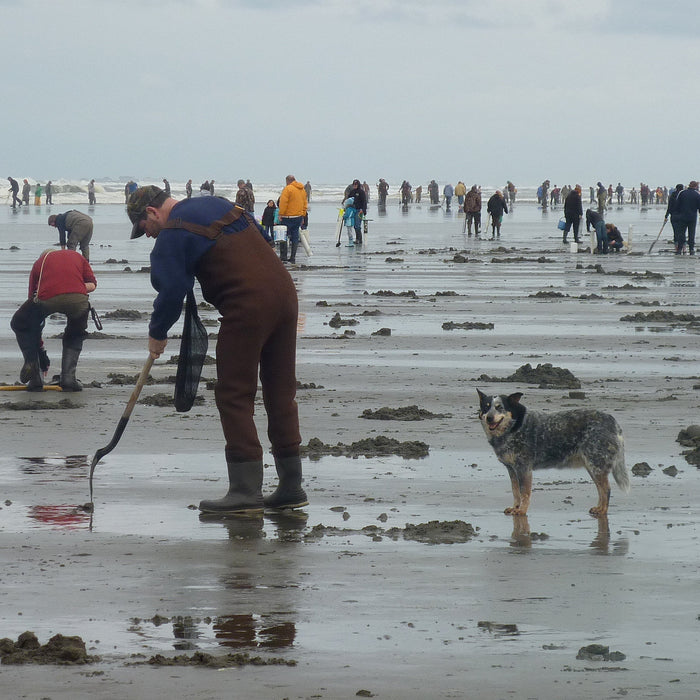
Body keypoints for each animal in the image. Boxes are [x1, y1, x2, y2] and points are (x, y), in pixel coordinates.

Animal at [476, 392, 628, 516]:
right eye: (486, 407)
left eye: (499, 407)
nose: (489, 418)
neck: (514, 427)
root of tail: (613, 421)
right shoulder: (512, 469)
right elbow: (515, 491)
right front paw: (515, 507)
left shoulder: (524, 468)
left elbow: (524, 492)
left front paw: (521, 510)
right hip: (592, 467)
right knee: (601, 489)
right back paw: (599, 508)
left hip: (596, 465)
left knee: (606, 489)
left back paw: (603, 510)